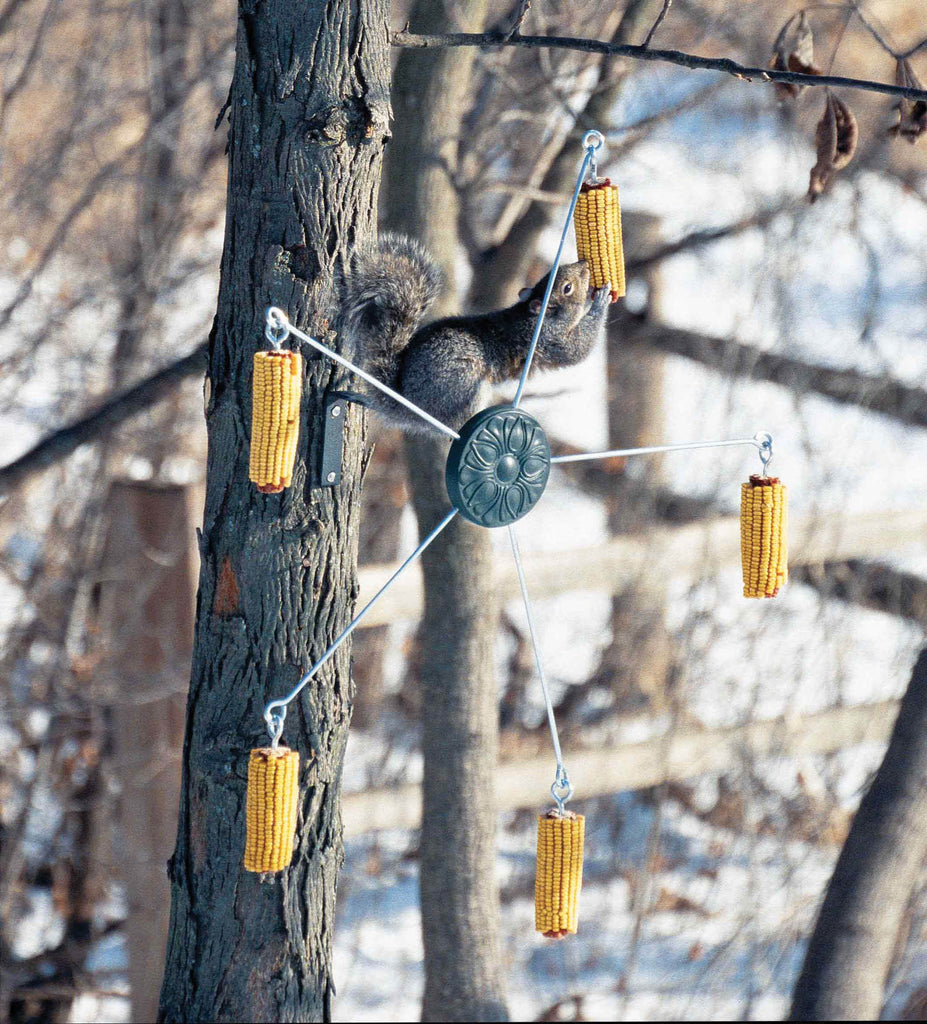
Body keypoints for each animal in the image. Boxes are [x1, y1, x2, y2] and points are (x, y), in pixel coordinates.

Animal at [340, 233, 611, 432]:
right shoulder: (550, 339)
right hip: (465, 385)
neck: (532, 316)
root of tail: (405, 406)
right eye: (567, 288)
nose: (584, 264)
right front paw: (600, 302)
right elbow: (578, 350)